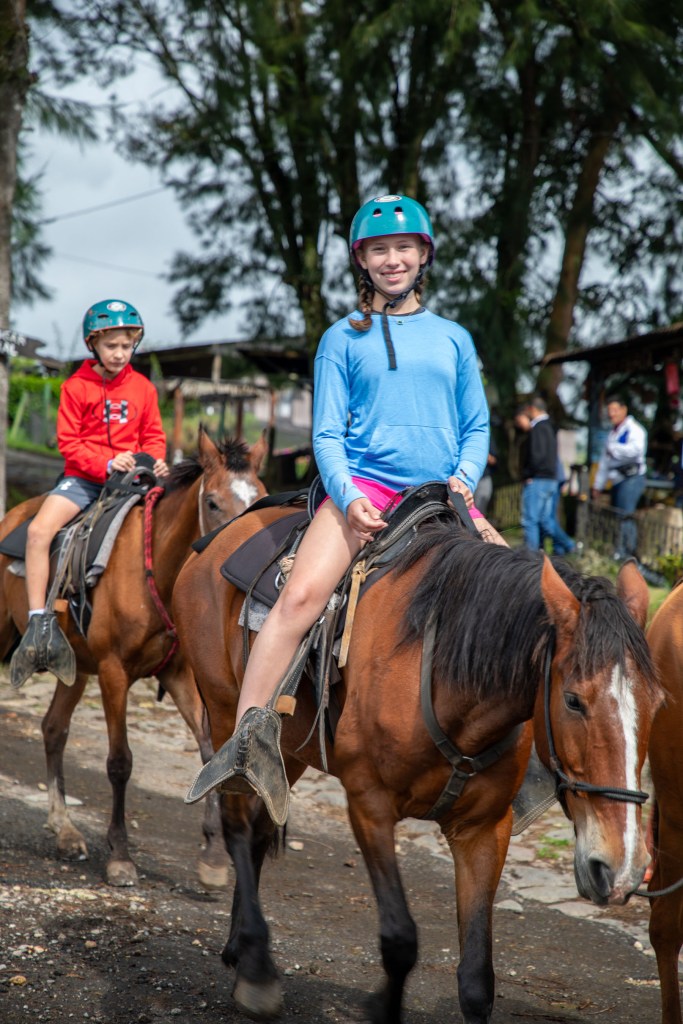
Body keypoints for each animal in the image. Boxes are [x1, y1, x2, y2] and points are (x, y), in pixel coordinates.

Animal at [0, 427, 267, 887]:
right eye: (213, 502)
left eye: (261, 496)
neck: (158, 566)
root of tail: (13, 515)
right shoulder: (114, 673)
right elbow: (120, 762)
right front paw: (121, 856)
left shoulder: (179, 675)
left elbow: (208, 752)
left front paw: (213, 858)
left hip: (76, 667)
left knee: (54, 729)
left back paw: (65, 829)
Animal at [171, 505, 662, 1024]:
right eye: (573, 700)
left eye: (658, 702)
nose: (622, 869)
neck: (443, 673)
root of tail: (220, 536)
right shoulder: (370, 807)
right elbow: (400, 939)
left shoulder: (484, 829)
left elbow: (476, 978)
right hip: (226, 717)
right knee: (237, 825)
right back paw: (256, 968)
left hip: (289, 751)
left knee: (260, 830)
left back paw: (239, 947)